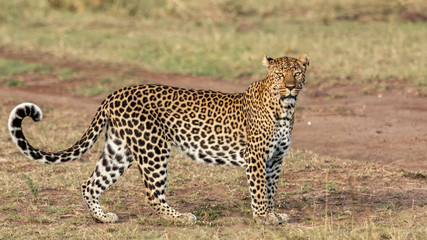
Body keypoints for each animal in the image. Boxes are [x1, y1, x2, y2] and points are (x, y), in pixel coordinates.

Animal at [8, 53, 310, 224]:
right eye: (279, 74)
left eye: (296, 72)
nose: (290, 86)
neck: (286, 107)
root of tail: (115, 93)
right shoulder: (256, 157)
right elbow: (259, 190)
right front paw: (263, 218)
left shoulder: (276, 159)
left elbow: (271, 189)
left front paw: (273, 214)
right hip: (153, 147)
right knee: (153, 195)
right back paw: (182, 218)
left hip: (120, 150)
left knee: (89, 183)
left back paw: (102, 218)